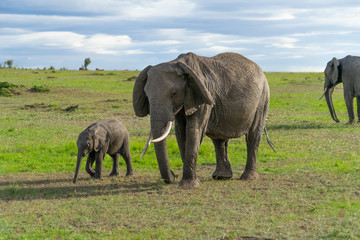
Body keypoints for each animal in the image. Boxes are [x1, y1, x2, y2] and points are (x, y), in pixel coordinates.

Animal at [134, 51, 274, 188]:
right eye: (146, 95)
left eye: (173, 93)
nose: (173, 175)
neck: (178, 63)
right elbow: (181, 132)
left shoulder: (203, 95)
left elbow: (194, 130)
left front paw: (188, 185)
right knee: (219, 139)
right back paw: (221, 177)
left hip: (262, 99)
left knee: (253, 135)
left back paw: (248, 177)